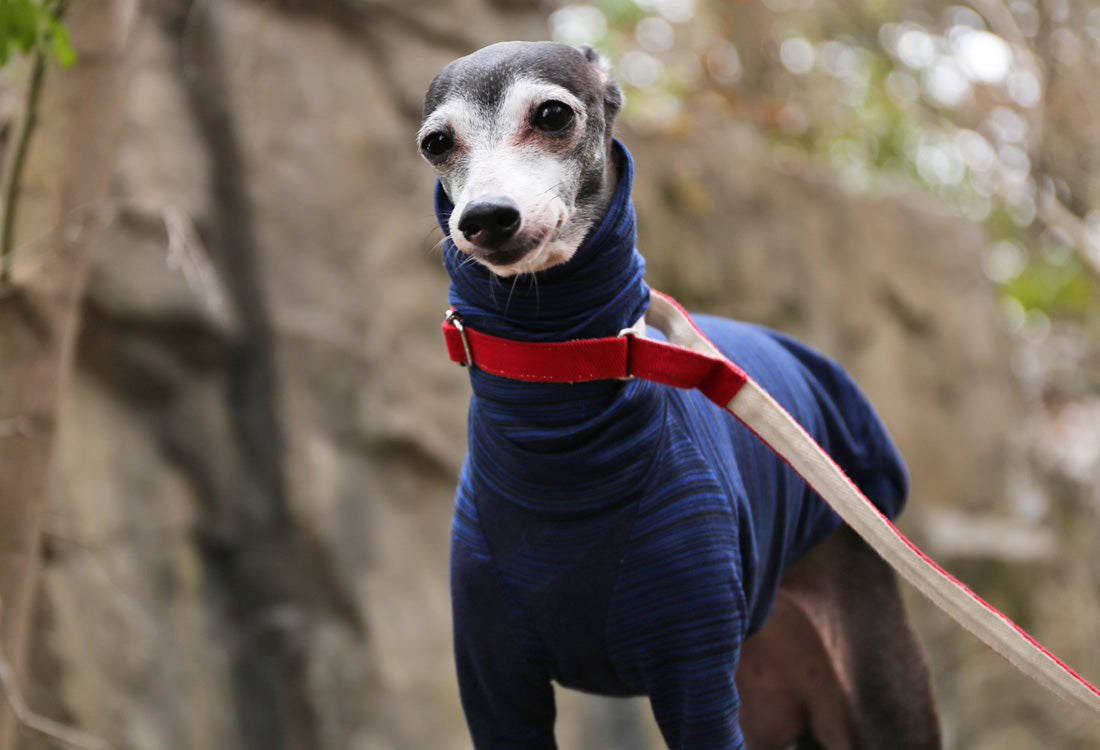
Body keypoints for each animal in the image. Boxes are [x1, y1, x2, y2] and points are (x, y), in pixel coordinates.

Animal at [415, 42, 941, 747]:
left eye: (552, 114)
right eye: (436, 143)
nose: (485, 219)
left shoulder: (693, 675)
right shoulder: (495, 683)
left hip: (874, 681)